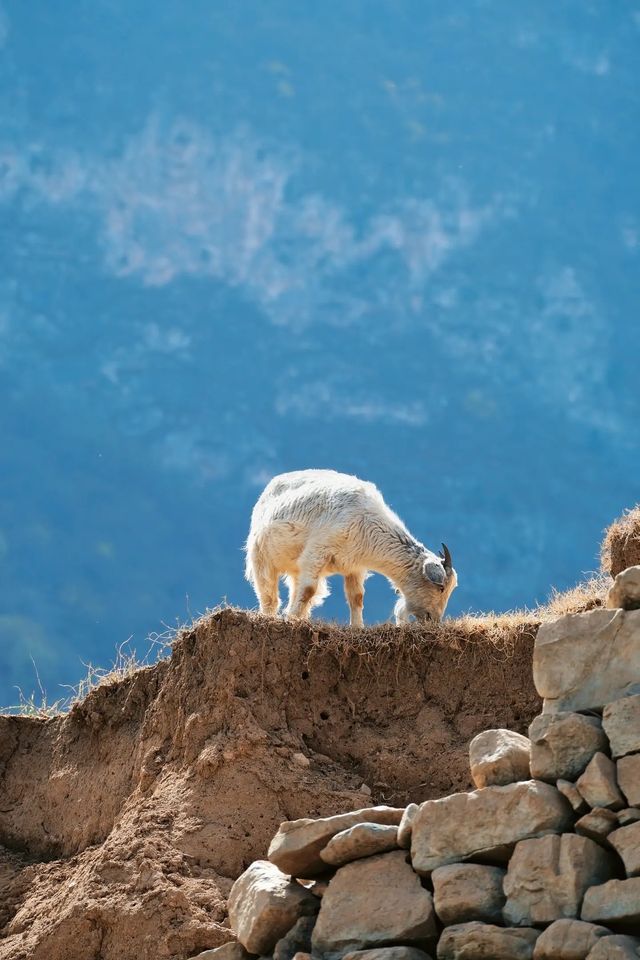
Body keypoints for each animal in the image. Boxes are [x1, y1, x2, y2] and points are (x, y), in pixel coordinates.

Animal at [242, 468, 458, 628]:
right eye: (440, 588)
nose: (433, 620)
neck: (365, 520)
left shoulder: (355, 567)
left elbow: (357, 597)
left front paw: (357, 627)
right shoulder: (316, 553)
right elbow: (309, 590)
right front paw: (292, 618)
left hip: (294, 569)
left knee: (295, 587)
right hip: (261, 557)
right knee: (269, 595)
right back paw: (271, 615)